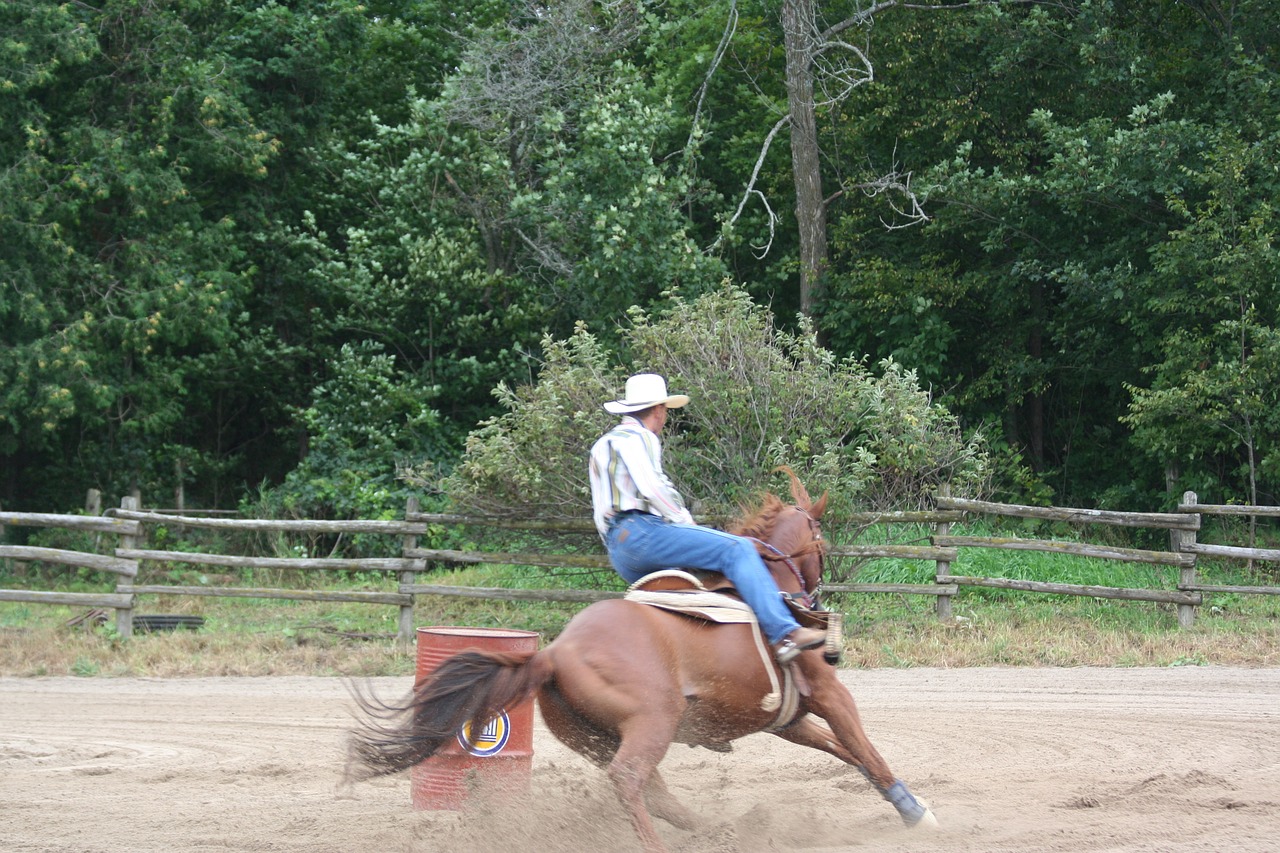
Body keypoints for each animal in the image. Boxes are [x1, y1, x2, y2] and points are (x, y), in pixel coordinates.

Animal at [345, 468, 936, 845]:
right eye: (821, 541)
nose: (814, 597)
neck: (771, 588)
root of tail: (553, 652)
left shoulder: (785, 719)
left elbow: (845, 751)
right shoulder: (829, 692)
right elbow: (866, 748)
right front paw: (917, 812)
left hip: (597, 738)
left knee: (655, 792)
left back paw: (716, 831)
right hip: (653, 719)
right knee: (632, 782)